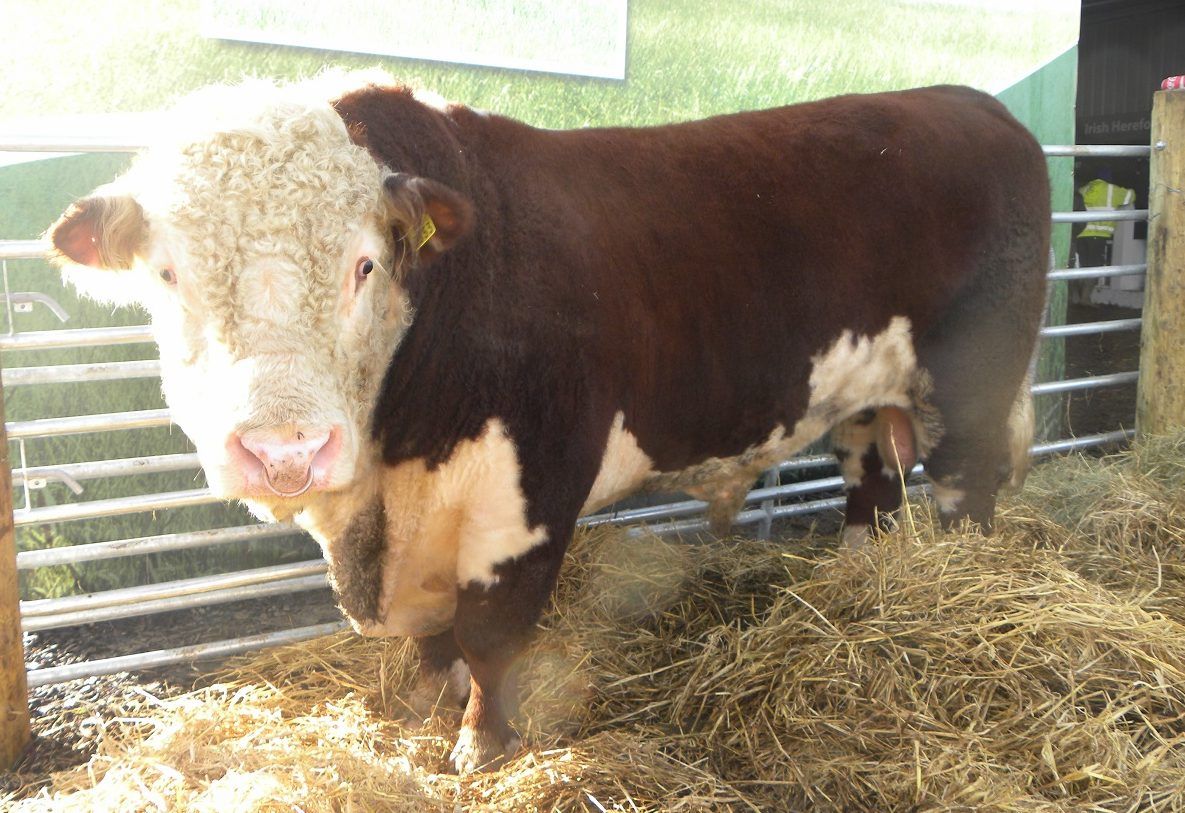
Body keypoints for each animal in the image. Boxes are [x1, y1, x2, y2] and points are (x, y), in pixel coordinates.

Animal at [47, 75, 1050, 772]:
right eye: (167, 274)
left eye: (366, 264)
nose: (283, 449)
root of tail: (969, 105)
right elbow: (432, 637)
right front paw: (421, 705)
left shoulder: (524, 494)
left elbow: (490, 633)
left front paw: (480, 745)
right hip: (862, 400)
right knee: (869, 489)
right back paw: (856, 586)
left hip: (972, 386)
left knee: (965, 495)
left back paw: (960, 590)